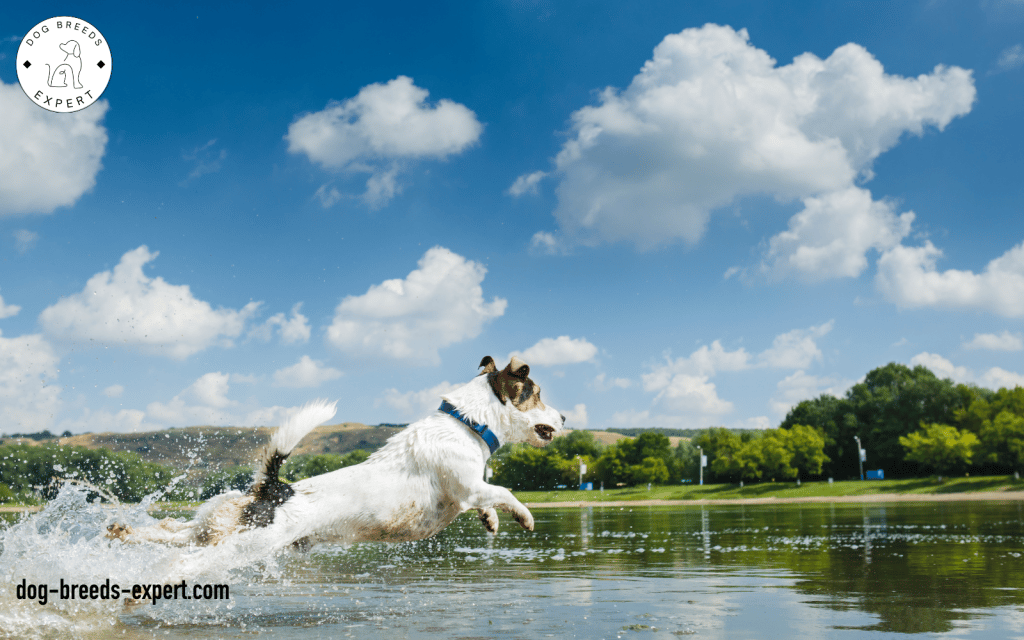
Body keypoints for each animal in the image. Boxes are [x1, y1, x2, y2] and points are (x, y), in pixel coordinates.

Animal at [108, 354, 569, 548]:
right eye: (538, 395)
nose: (565, 417)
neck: (466, 422)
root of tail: (276, 490)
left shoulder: (470, 491)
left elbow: (489, 501)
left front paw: (491, 520)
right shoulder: (468, 486)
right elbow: (503, 492)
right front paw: (523, 516)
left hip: (216, 527)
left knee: (173, 531)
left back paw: (124, 531)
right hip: (245, 541)